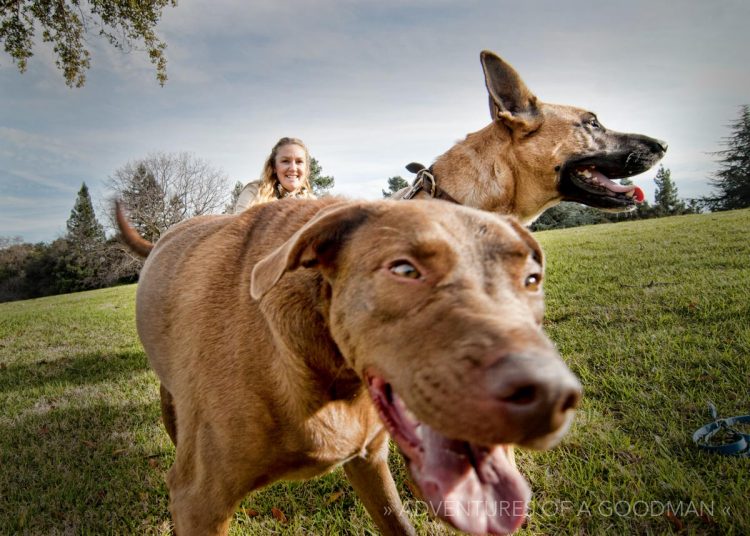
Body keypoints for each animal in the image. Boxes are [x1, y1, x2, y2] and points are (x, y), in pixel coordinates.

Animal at [117, 198, 584, 536]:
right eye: (404, 270)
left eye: (531, 279)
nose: (550, 395)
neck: (331, 373)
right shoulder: (198, 503)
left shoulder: (369, 461)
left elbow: (398, 522)